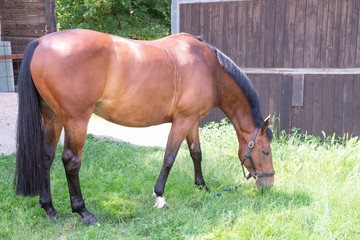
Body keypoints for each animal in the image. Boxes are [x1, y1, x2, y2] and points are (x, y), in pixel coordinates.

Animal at [15, 29, 276, 224]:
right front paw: (159, 197)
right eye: (265, 151)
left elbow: (196, 153)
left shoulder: (191, 120)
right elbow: (169, 157)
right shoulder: (182, 121)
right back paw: (83, 212)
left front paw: (202, 187)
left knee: (46, 157)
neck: (209, 68)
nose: (268, 185)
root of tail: (41, 41)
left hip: (52, 118)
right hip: (76, 120)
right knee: (71, 161)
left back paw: (50, 209)